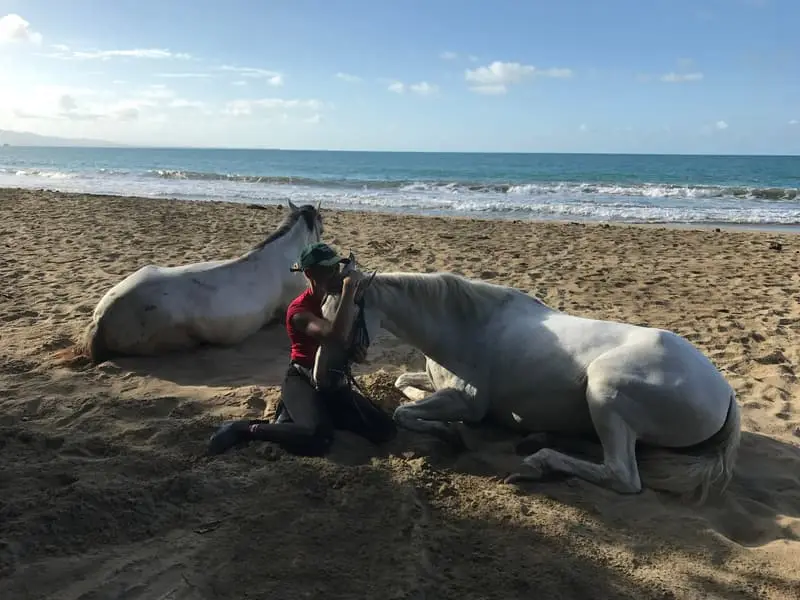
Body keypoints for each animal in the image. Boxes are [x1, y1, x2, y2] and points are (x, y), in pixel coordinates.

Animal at [314, 256, 741, 504]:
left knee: (622, 475)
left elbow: (405, 413)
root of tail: (726, 393)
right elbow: (403, 384)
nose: (321, 377)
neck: (465, 326)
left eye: (343, 317)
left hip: (604, 390)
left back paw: (536, 463)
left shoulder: (466, 400)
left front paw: (449, 431)